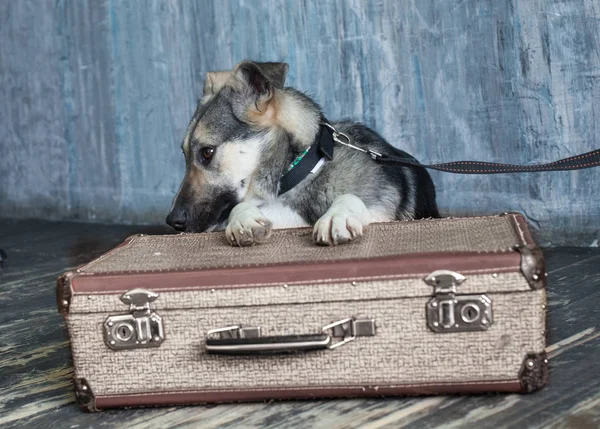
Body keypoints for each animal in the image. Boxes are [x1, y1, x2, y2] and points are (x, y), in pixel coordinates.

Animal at [166, 59, 438, 244]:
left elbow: (352, 197)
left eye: (207, 152)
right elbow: (238, 208)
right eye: (184, 154)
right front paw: (243, 219)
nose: (172, 221)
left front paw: (338, 215)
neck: (299, 170)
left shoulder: (382, 212)